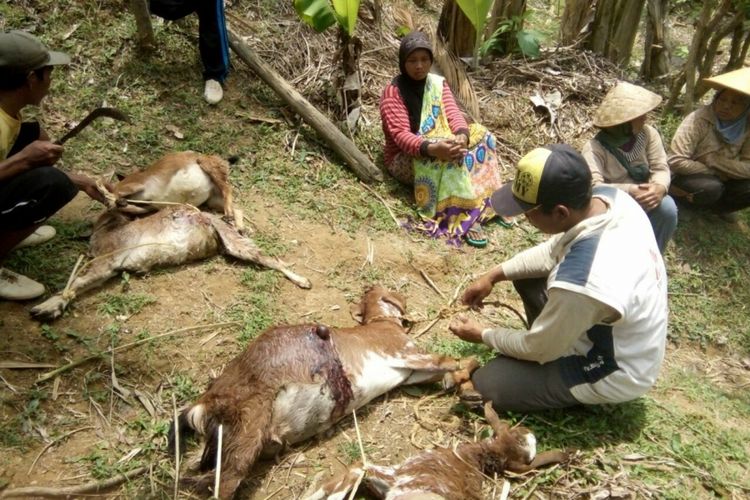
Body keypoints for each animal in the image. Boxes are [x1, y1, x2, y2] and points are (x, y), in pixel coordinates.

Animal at [29, 205, 312, 322]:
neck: (108, 228)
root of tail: (203, 215)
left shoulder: (107, 260)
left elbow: (76, 281)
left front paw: (47, 307)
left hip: (234, 242)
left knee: (270, 258)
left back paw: (303, 280)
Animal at [168, 288, 478, 498]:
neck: (380, 324)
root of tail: (203, 404)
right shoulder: (404, 352)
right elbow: (451, 360)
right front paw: (468, 379)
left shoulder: (411, 372)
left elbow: (444, 370)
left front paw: (460, 385)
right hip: (248, 427)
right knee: (223, 484)